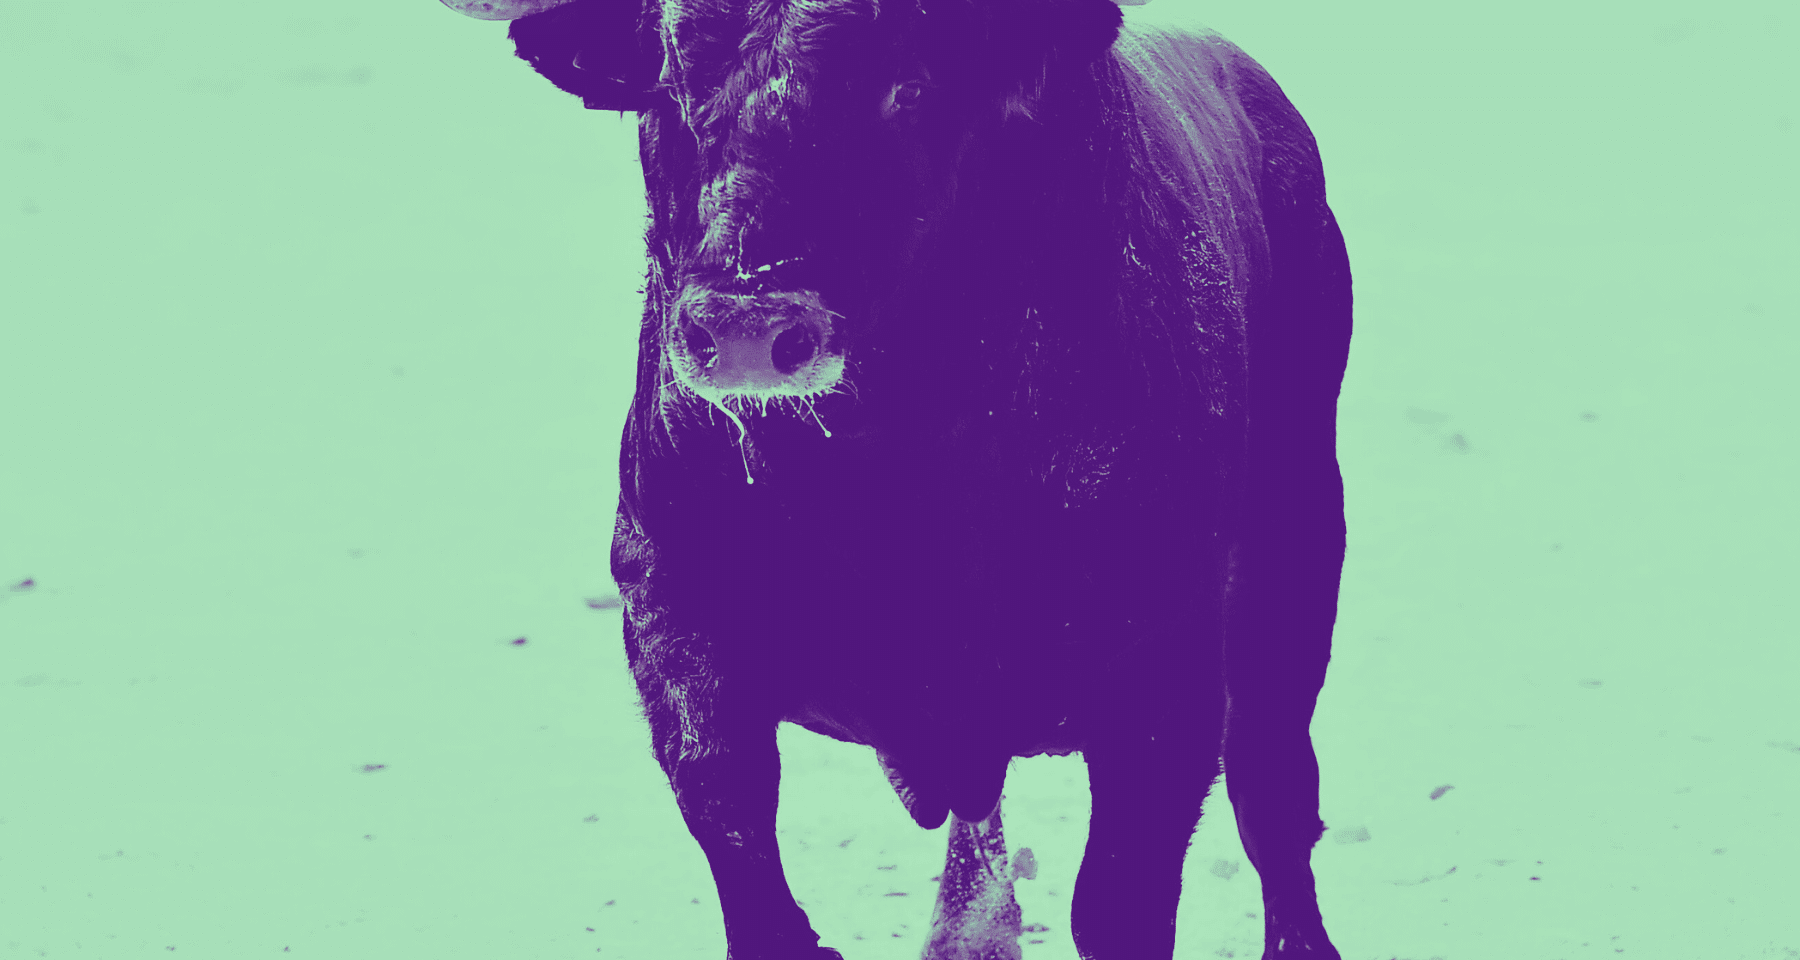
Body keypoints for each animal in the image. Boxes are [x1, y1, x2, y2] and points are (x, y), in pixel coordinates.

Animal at [441, 0, 1352, 956]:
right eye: (673, 85)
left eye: (908, 88)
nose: (746, 325)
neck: (882, 481)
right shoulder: (673, 614)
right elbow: (738, 843)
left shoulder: (1164, 669)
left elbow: (1118, 898)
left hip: (1297, 556)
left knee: (1275, 793)